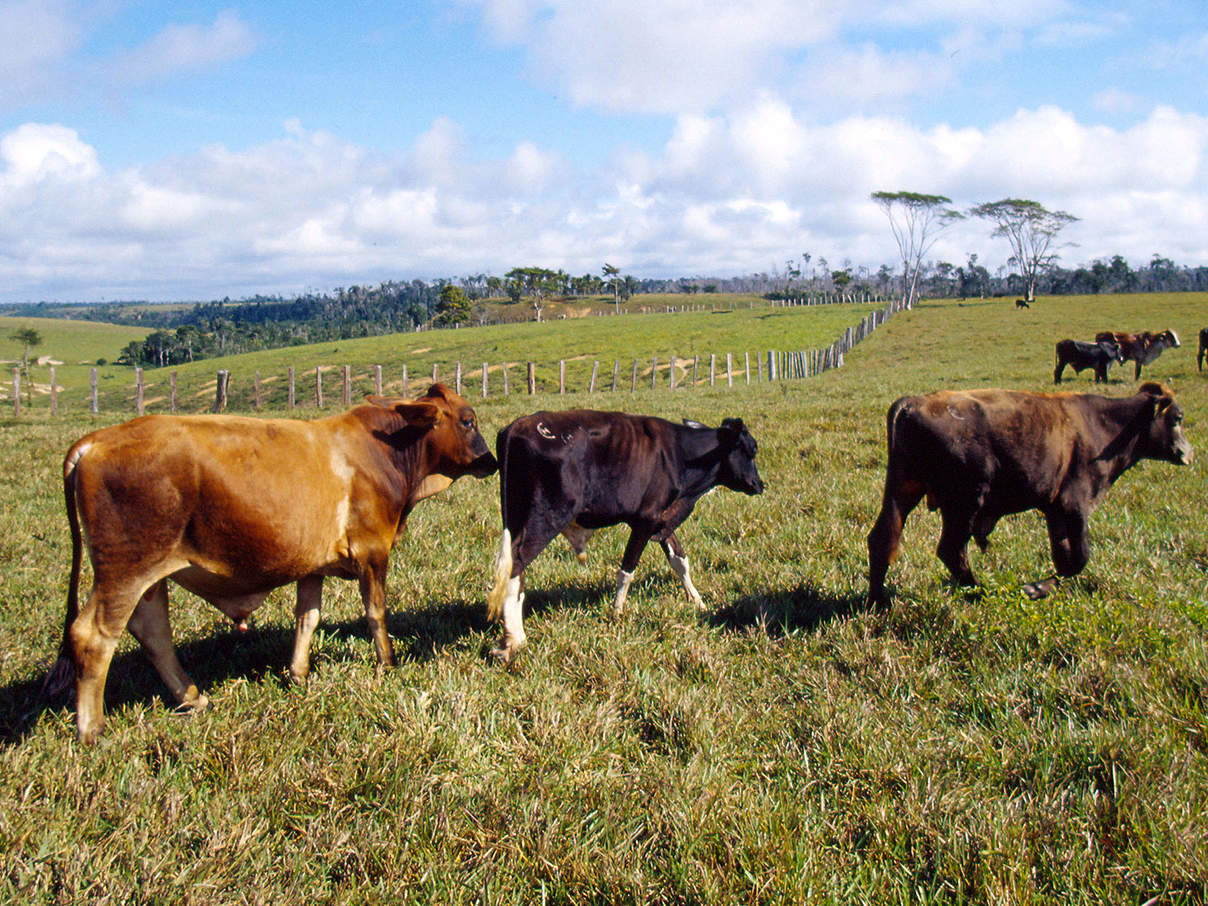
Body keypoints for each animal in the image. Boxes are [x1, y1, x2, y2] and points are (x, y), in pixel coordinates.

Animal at [43, 384, 495, 744]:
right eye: (468, 421)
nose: (490, 461)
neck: (385, 450)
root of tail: (95, 441)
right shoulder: (372, 552)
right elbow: (376, 613)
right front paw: (388, 662)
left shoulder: (313, 566)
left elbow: (307, 618)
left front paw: (298, 673)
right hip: (124, 572)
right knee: (94, 637)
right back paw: (93, 730)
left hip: (149, 577)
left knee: (152, 632)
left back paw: (193, 697)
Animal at [483, 410, 758, 661]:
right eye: (750, 450)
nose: (759, 484)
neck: (680, 455)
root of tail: (516, 427)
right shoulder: (645, 521)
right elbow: (627, 570)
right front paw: (616, 613)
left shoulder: (662, 520)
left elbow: (680, 561)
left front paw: (698, 602)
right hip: (544, 518)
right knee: (516, 566)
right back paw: (514, 641)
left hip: (517, 519)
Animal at [869, 379, 1188, 606]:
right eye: (1176, 418)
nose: (1187, 453)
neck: (1104, 424)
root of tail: (915, 402)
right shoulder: (1075, 505)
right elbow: (1079, 558)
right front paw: (1034, 588)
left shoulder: (1055, 510)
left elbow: (1064, 558)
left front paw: (1039, 587)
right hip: (965, 502)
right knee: (950, 549)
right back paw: (980, 591)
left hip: (904, 491)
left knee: (883, 539)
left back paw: (877, 600)